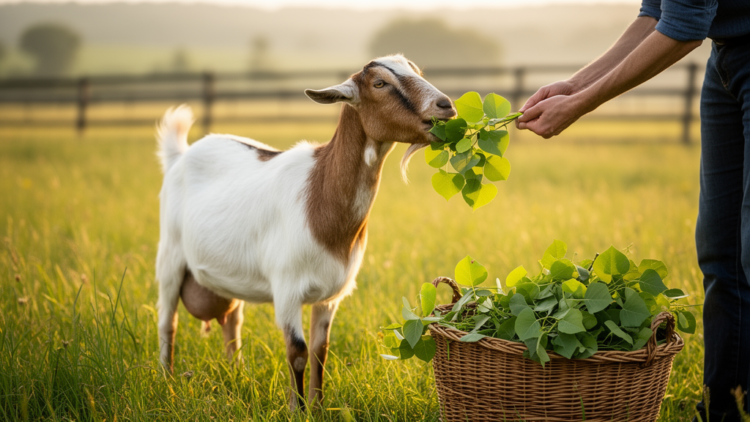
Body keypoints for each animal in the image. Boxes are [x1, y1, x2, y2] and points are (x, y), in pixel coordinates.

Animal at [155, 54, 456, 410]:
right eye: (379, 83)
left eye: (417, 72)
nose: (446, 105)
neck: (320, 192)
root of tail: (181, 155)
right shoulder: (287, 290)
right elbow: (297, 352)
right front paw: (296, 408)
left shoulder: (330, 297)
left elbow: (319, 351)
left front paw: (318, 405)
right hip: (169, 257)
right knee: (168, 323)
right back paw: (168, 382)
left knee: (232, 322)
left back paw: (236, 373)